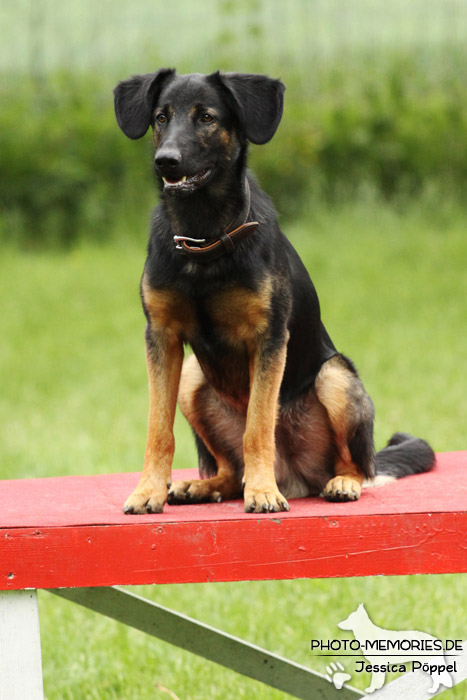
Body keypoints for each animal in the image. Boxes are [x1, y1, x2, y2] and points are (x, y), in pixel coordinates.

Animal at [113, 69, 436, 516]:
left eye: (206, 117)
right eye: (161, 117)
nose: (166, 161)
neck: (203, 237)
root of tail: (297, 478)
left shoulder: (267, 338)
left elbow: (259, 425)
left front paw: (263, 491)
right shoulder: (162, 337)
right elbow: (158, 429)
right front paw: (149, 490)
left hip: (336, 377)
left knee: (357, 465)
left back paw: (336, 483)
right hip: (193, 377)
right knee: (230, 471)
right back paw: (203, 486)